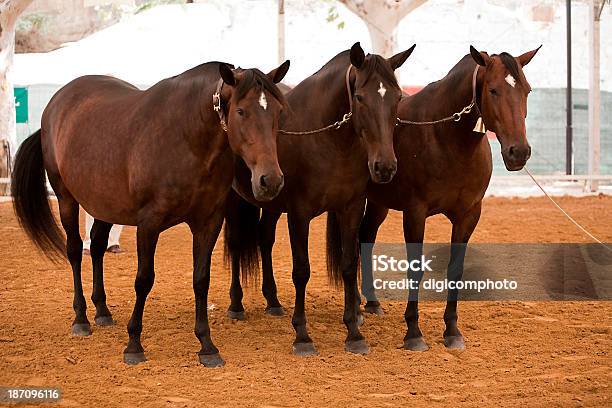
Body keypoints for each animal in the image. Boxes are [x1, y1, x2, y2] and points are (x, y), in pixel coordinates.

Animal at [10, 59, 290, 366]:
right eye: (241, 111)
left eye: (278, 111)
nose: (270, 180)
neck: (186, 139)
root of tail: (56, 104)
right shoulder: (149, 223)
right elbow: (144, 280)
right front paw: (134, 344)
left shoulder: (208, 222)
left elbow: (201, 279)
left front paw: (207, 345)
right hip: (66, 198)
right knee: (74, 251)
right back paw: (81, 318)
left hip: (105, 205)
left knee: (96, 247)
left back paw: (102, 311)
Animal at [225, 40, 416, 354]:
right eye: (360, 97)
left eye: (398, 97)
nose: (385, 166)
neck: (324, 140)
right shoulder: (299, 214)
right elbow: (301, 271)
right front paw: (302, 335)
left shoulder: (350, 208)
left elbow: (349, 265)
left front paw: (354, 332)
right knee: (236, 243)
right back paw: (236, 304)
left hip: (272, 202)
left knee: (265, 239)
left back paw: (273, 301)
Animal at [358, 44, 540, 350]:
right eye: (493, 90)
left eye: (527, 90)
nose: (519, 152)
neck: (445, 138)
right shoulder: (415, 213)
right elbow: (415, 269)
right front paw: (414, 332)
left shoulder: (469, 214)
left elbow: (456, 269)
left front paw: (452, 330)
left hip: (378, 203)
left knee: (366, 238)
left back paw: (372, 303)